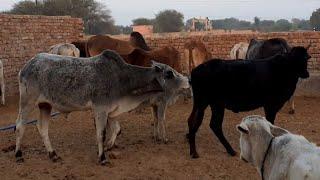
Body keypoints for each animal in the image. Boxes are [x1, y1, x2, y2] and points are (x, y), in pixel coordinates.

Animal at [14, 50, 165, 165]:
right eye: (167, 74)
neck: (121, 77)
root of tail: (27, 65)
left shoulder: (111, 110)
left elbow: (116, 129)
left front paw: (108, 147)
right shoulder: (100, 109)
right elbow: (101, 134)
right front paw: (102, 158)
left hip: (45, 105)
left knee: (42, 128)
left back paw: (53, 154)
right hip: (27, 102)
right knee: (20, 126)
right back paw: (18, 154)